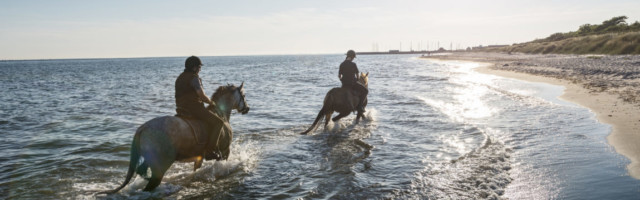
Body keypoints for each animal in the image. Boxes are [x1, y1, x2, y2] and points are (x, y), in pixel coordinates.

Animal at [100, 82, 250, 194]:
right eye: (243, 95)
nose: (247, 109)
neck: (220, 114)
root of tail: (143, 129)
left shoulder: (199, 157)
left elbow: (195, 170)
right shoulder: (225, 151)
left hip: (149, 160)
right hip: (161, 164)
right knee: (151, 185)